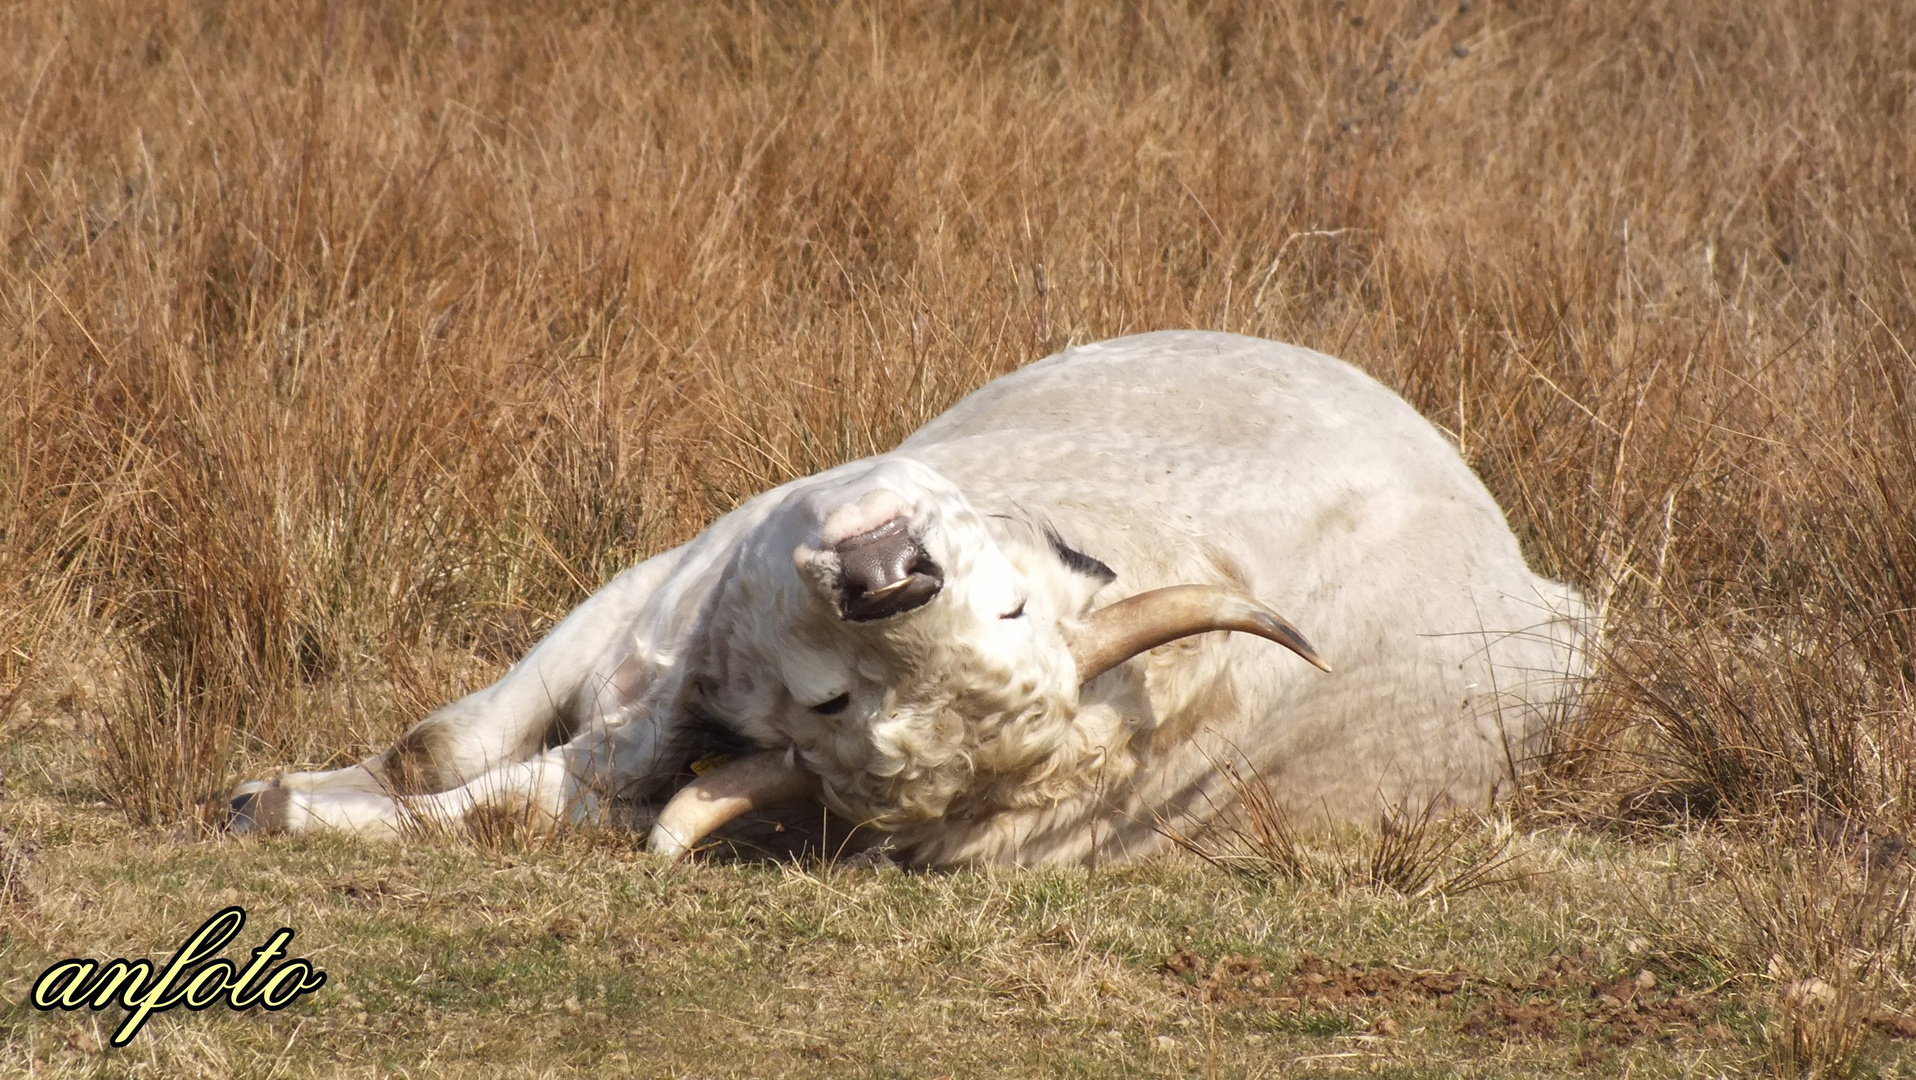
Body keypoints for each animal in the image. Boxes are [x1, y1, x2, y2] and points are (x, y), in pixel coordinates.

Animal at [231, 333, 1594, 865]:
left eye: (839, 709)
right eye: (1012, 607)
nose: (894, 579)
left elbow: (506, 802)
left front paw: (282, 806)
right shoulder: (655, 580)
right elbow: (438, 746)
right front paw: (274, 793)